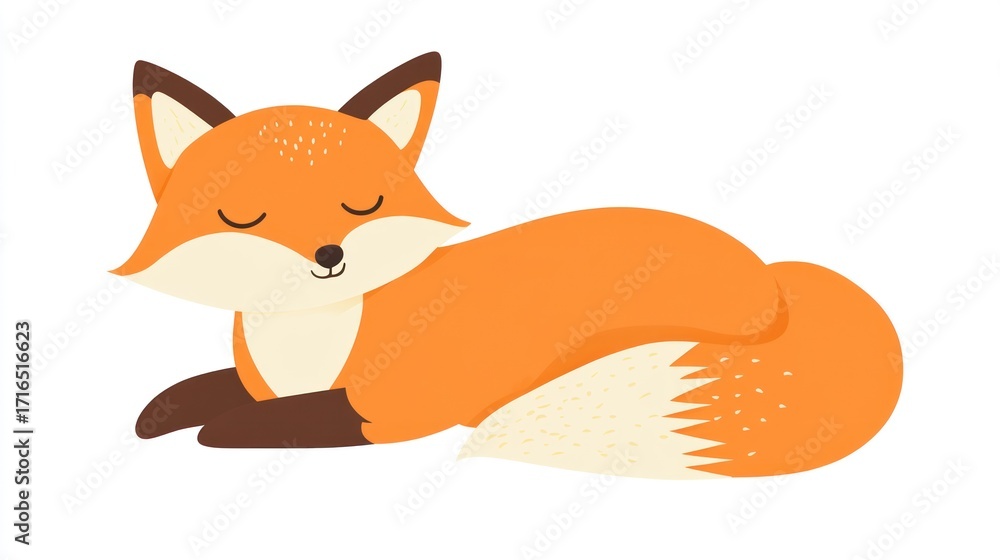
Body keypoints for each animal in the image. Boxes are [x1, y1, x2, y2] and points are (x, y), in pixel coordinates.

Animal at [116, 52, 903, 479]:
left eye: (362, 204)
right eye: (244, 217)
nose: (328, 257)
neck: (311, 340)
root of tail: (773, 275)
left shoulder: (390, 412)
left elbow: (271, 419)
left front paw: (220, 429)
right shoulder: (265, 379)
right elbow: (212, 391)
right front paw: (162, 411)